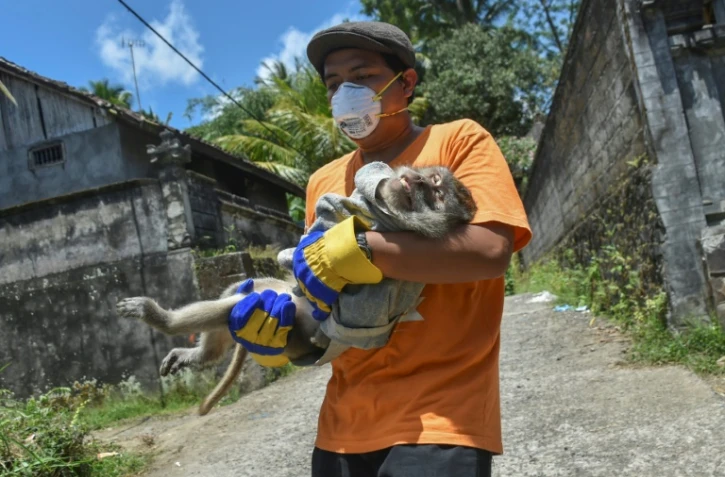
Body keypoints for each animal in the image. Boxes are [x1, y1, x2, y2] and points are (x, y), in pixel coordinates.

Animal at [116, 162, 478, 416]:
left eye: (436, 196)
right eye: (432, 181)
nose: (417, 181)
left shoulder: (407, 267)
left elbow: (365, 312)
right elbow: (327, 219)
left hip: (290, 325)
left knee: (238, 306)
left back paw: (160, 319)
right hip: (271, 287)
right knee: (236, 293)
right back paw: (199, 354)